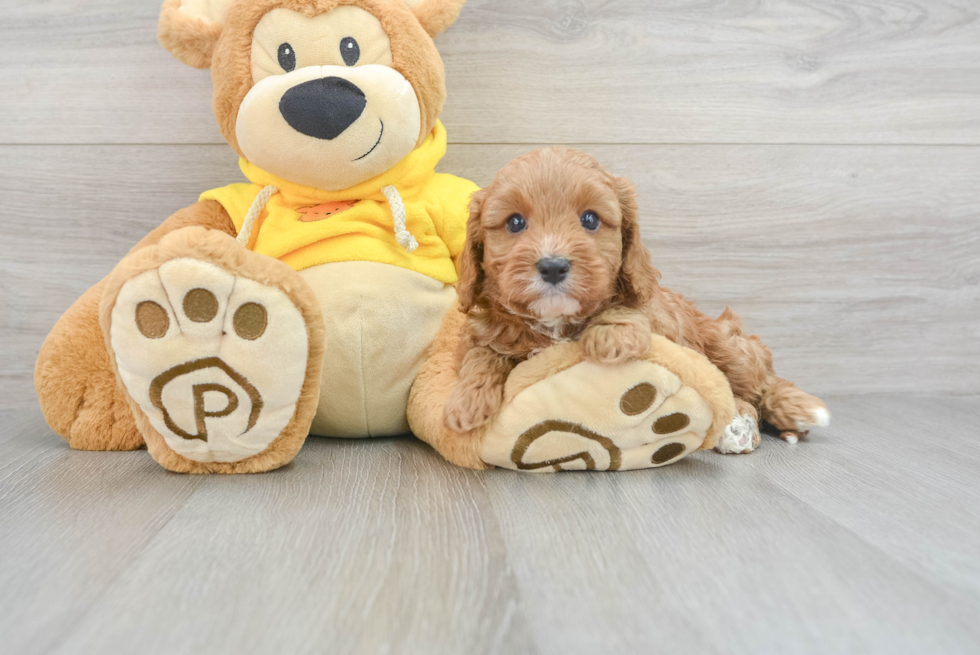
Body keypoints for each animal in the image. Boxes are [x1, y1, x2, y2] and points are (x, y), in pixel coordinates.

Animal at [440, 149, 832, 454]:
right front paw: (466, 402)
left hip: (729, 345)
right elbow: (482, 353)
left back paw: (774, 417)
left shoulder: (654, 309)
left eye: (590, 219)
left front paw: (613, 335)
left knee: (759, 385)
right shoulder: (482, 333)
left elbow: (630, 306)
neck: (555, 323)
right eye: (515, 222)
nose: (552, 266)